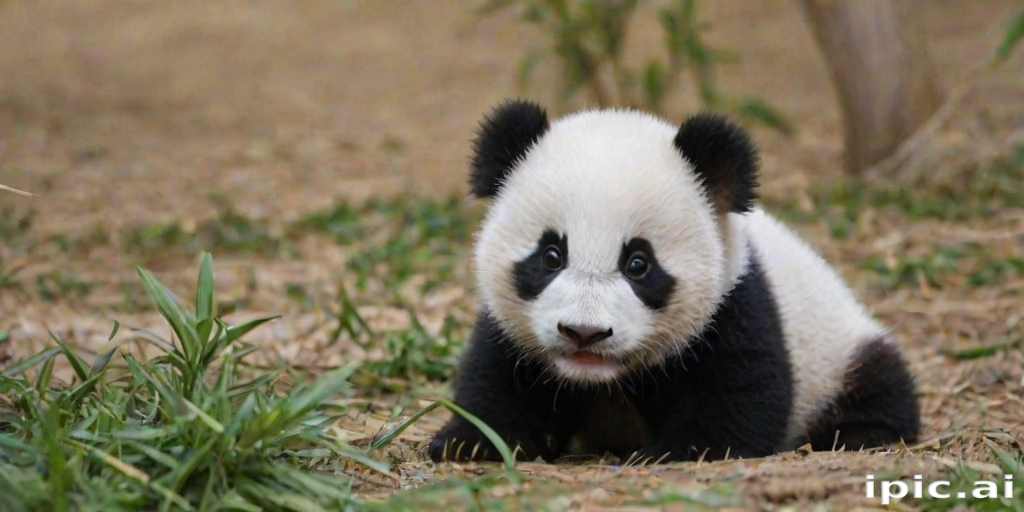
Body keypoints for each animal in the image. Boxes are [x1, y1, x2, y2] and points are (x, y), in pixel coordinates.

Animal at [427, 99, 920, 464]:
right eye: (551, 256)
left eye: (638, 264)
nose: (584, 333)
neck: (602, 379)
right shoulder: (513, 330)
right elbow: (498, 378)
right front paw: (471, 442)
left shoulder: (736, 304)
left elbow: (740, 393)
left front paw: (674, 452)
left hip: (838, 349)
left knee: (881, 382)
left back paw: (856, 432)